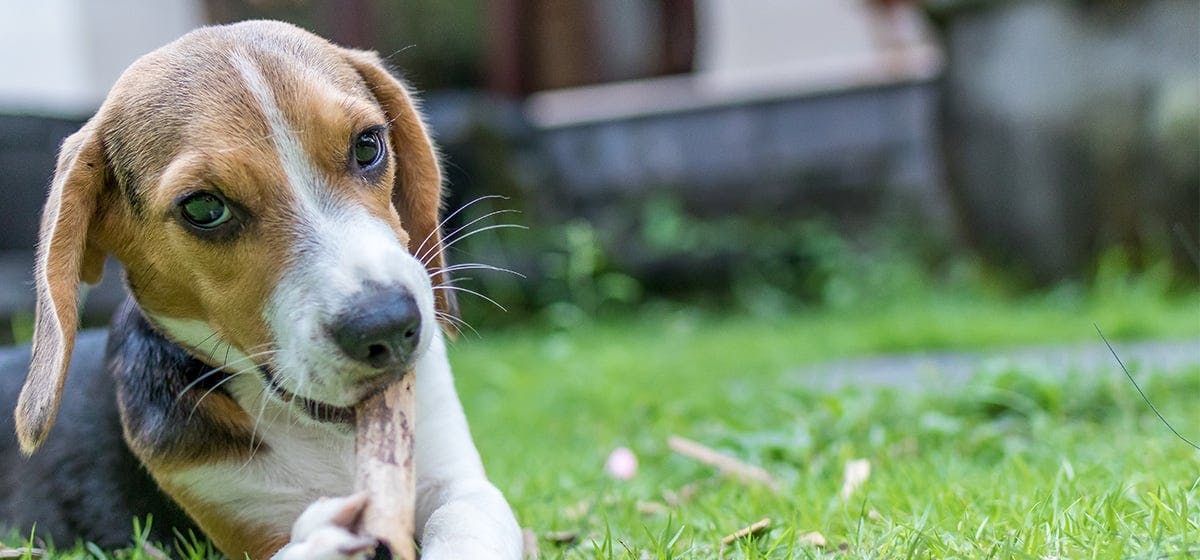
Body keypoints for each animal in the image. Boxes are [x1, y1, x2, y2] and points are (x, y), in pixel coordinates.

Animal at [1, 19, 525, 558]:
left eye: (367, 146)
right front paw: (324, 538)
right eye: (203, 208)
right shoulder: (239, 520)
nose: (387, 324)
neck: (324, 434)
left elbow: (465, 520)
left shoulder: (456, 478)